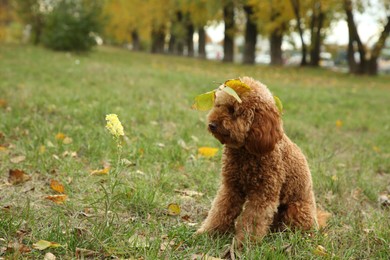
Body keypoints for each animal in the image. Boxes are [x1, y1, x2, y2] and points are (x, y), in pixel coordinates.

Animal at [197, 76, 328, 244]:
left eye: (233, 110)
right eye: (218, 105)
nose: (211, 124)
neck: (245, 151)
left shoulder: (263, 194)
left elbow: (252, 221)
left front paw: (243, 245)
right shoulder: (231, 187)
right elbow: (220, 211)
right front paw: (207, 233)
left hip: (296, 210)